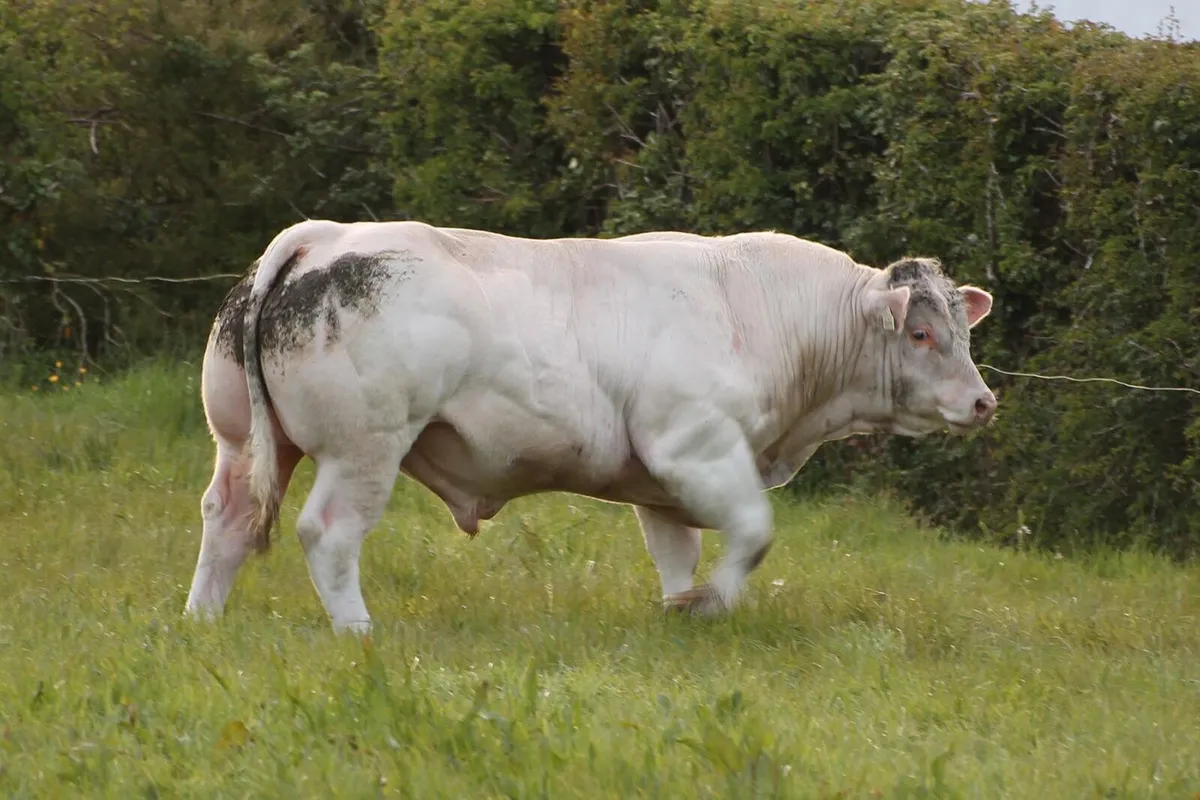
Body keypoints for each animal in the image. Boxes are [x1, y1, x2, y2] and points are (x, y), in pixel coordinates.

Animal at [184, 220, 996, 633]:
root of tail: (320, 240)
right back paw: (359, 632)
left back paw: (202, 620)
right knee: (327, 534)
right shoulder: (694, 445)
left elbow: (679, 552)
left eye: (962, 331)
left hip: (242, 441)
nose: (984, 402)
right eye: (921, 335)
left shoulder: (665, 483)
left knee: (226, 518)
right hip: (366, 447)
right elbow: (754, 533)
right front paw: (709, 603)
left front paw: (680, 612)